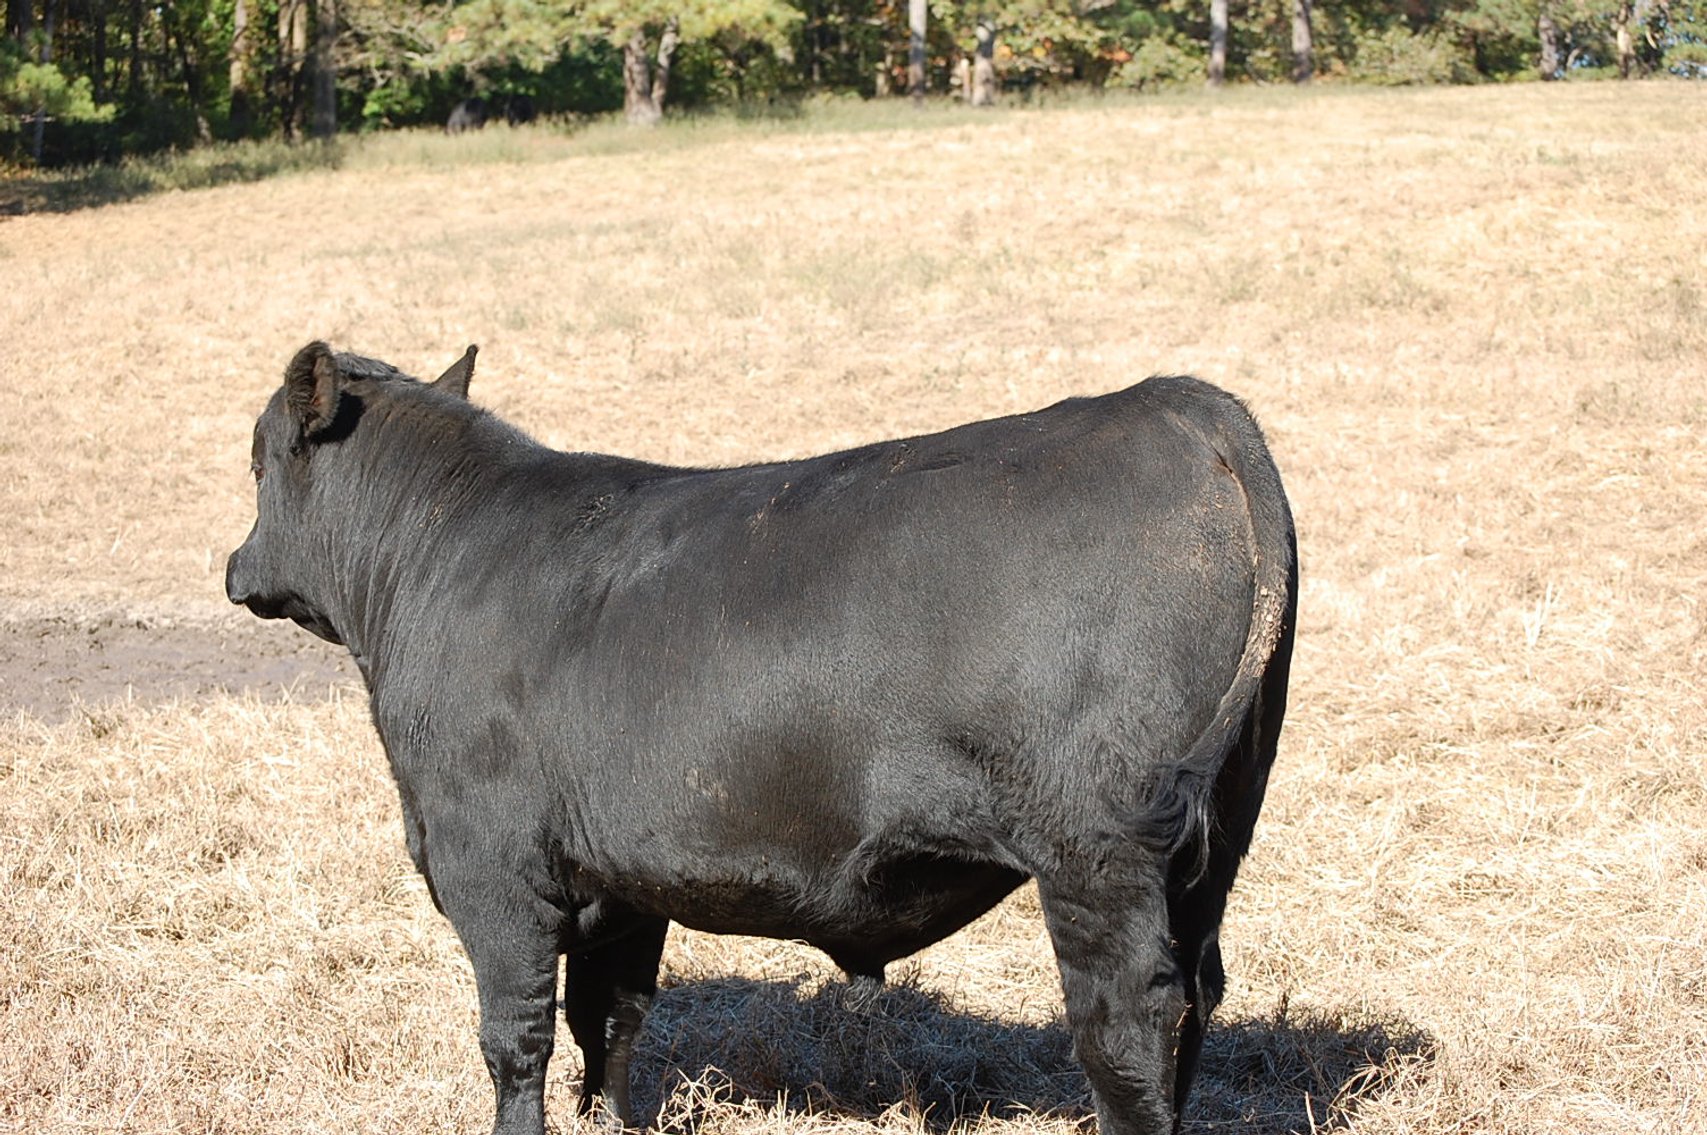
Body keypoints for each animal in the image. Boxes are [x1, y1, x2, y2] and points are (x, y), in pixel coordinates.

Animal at [226, 342, 1297, 1135]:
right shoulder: (619, 875)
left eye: (256, 459)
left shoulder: (488, 864)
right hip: (1210, 844)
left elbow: (515, 1038)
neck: (437, 558)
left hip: (1093, 849)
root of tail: (1174, 402)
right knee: (1196, 998)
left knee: (1125, 1025)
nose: (236, 566)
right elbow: (610, 1017)